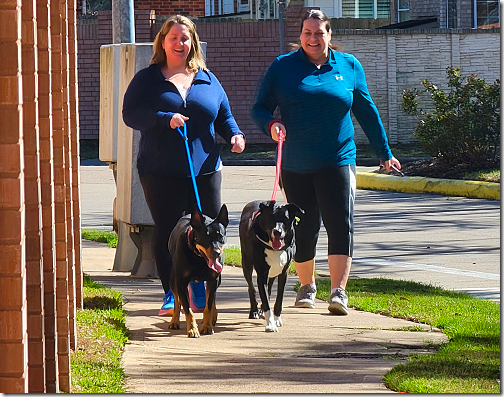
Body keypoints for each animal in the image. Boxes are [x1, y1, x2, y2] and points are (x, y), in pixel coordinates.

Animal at [167, 204, 228, 338]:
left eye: (220, 236)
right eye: (205, 236)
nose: (217, 252)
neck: (199, 258)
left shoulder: (213, 279)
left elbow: (208, 305)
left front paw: (207, 326)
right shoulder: (181, 282)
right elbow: (187, 308)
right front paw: (192, 329)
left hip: (218, 279)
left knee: (212, 296)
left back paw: (213, 316)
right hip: (173, 280)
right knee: (177, 301)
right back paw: (174, 321)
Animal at [239, 198, 304, 332]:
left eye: (285, 218)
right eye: (270, 217)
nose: (277, 232)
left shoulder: (284, 273)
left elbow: (278, 299)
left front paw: (277, 319)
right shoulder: (261, 274)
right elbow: (265, 299)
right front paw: (270, 324)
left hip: (274, 271)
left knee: (268, 288)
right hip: (246, 263)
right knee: (251, 288)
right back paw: (254, 311)